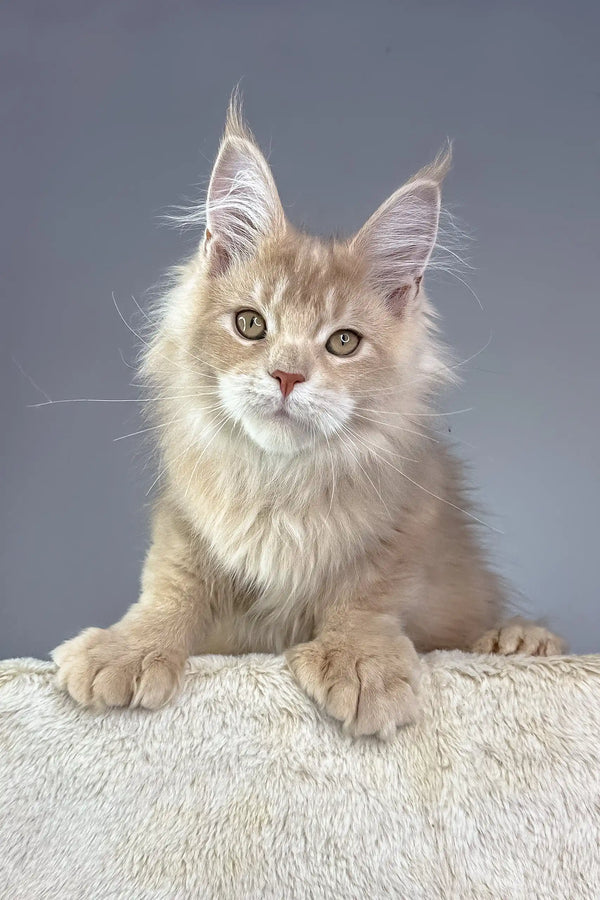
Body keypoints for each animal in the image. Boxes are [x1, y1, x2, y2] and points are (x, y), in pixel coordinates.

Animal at [54, 102, 564, 740]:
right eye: (250, 324)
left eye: (343, 342)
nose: (288, 376)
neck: (280, 485)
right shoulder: (185, 521)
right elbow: (171, 586)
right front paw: (129, 648)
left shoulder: (409, 515)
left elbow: (367, 594)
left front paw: (360, 661)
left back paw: (517, 641)